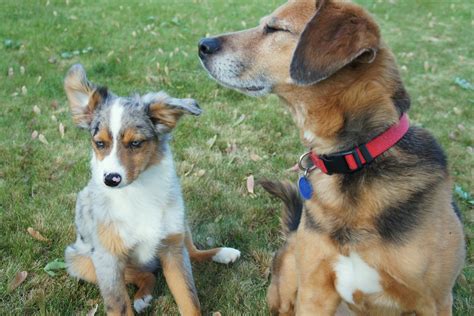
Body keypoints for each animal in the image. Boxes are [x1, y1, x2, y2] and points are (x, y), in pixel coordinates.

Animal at [198, 0, 464, 314]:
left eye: (275, 28)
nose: (202, 44)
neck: (354, 158)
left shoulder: (435, 301)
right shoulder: (315, 290)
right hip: (285, 288)